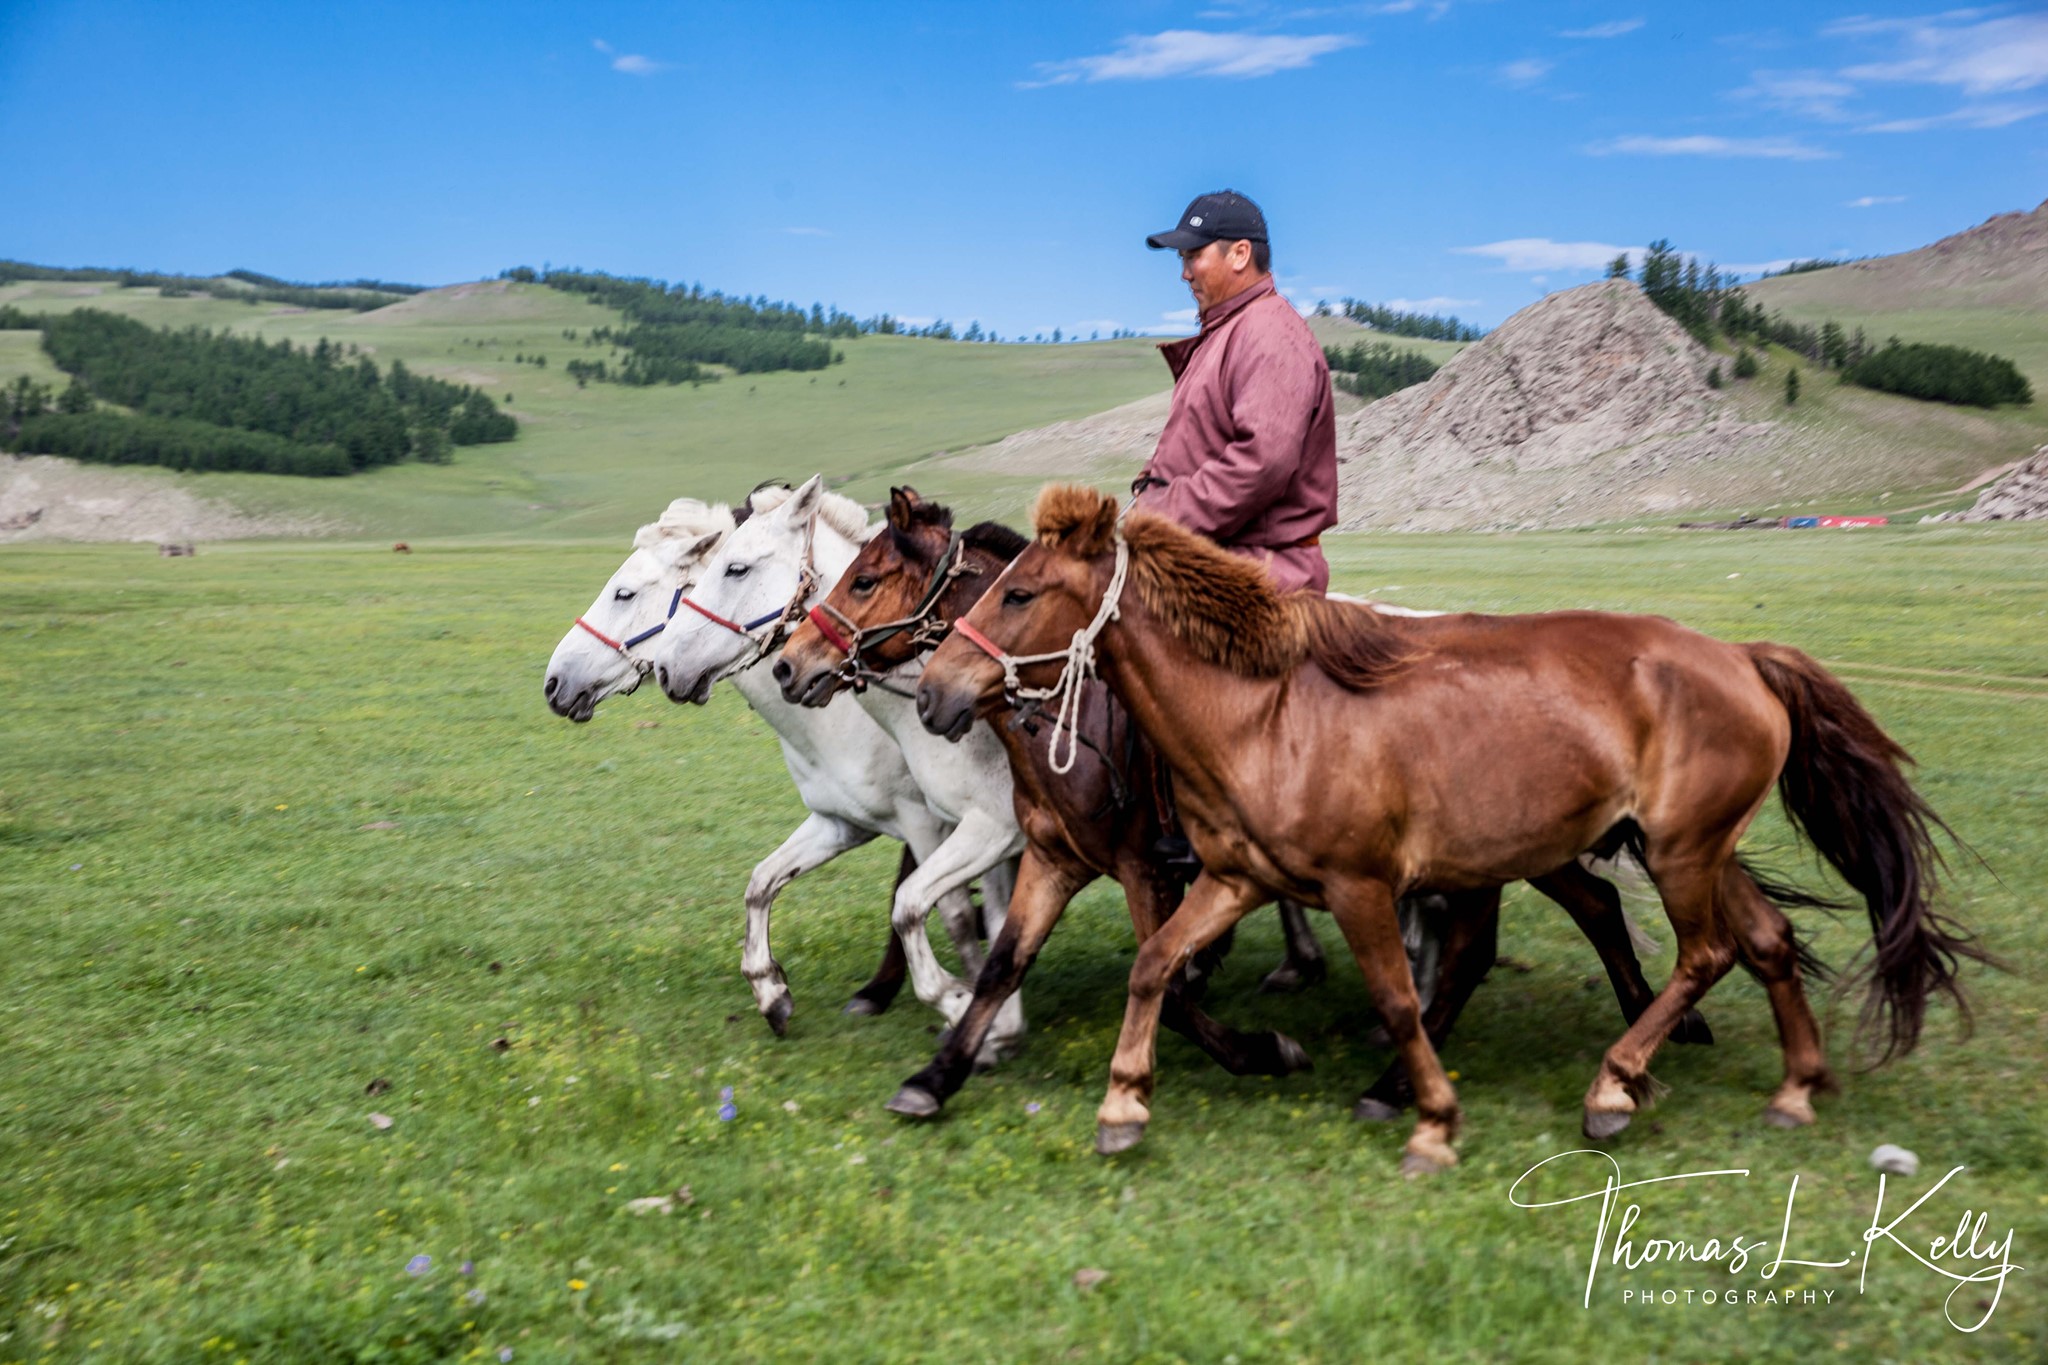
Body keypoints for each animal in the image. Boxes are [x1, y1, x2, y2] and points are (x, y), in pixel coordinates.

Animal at [542, 494, 985, 1037]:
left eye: (624, 593)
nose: (554, 682)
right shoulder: (845, 822)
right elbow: (762, 883)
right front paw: (773, 990)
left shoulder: (926, 820)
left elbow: (926, 901)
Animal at [772, 486, 1703, 1120]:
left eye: (867, 579)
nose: (789, 664)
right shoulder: (1053, 857)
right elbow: (1003, 961)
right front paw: (936, 1075)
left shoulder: (1144, 865)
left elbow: (1170, 986)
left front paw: (1264, 1050)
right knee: (1590, 902)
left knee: (1514, 932)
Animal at [915, 485, 1983, 1176]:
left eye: (1017, 592)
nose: (932, 694)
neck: (1263, 716)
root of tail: (1744, 657)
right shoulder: (1232, 877)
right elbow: (1150, 968)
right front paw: (1119, 1101)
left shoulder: (1355, 884)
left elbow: (1395, 997)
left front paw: (1430, 1119)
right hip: (1693, 849)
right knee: (1765, 938)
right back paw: (1796, 1085)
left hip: (1676, 854)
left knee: (1704, 951)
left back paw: (1613, 1086)